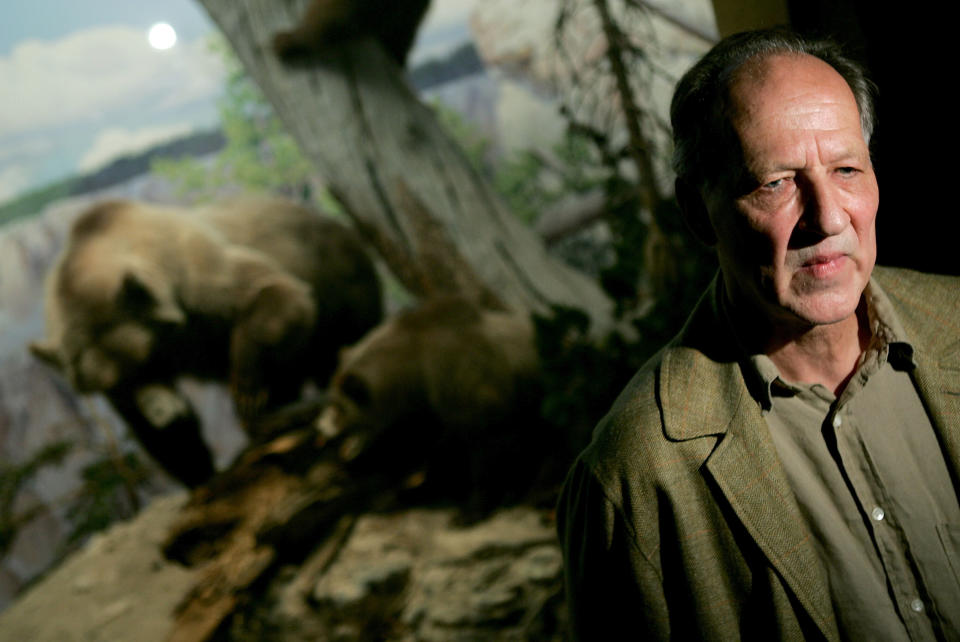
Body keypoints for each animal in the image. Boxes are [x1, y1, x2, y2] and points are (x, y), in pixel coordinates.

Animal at [30, 195, 382, 484]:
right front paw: (197, 471)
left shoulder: (194, 277)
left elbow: (276, 293)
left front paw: (247, 389)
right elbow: (155, 435)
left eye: (146, 361)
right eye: (117, 384)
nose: (164, 414)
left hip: (340, 282)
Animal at [316, 296, 540, 510]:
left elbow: (489, 443)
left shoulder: (466, 382)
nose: (321, 431)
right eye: (331, 402)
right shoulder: (427, 408)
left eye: (338, 408)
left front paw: (478, 504)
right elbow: (421, 447)